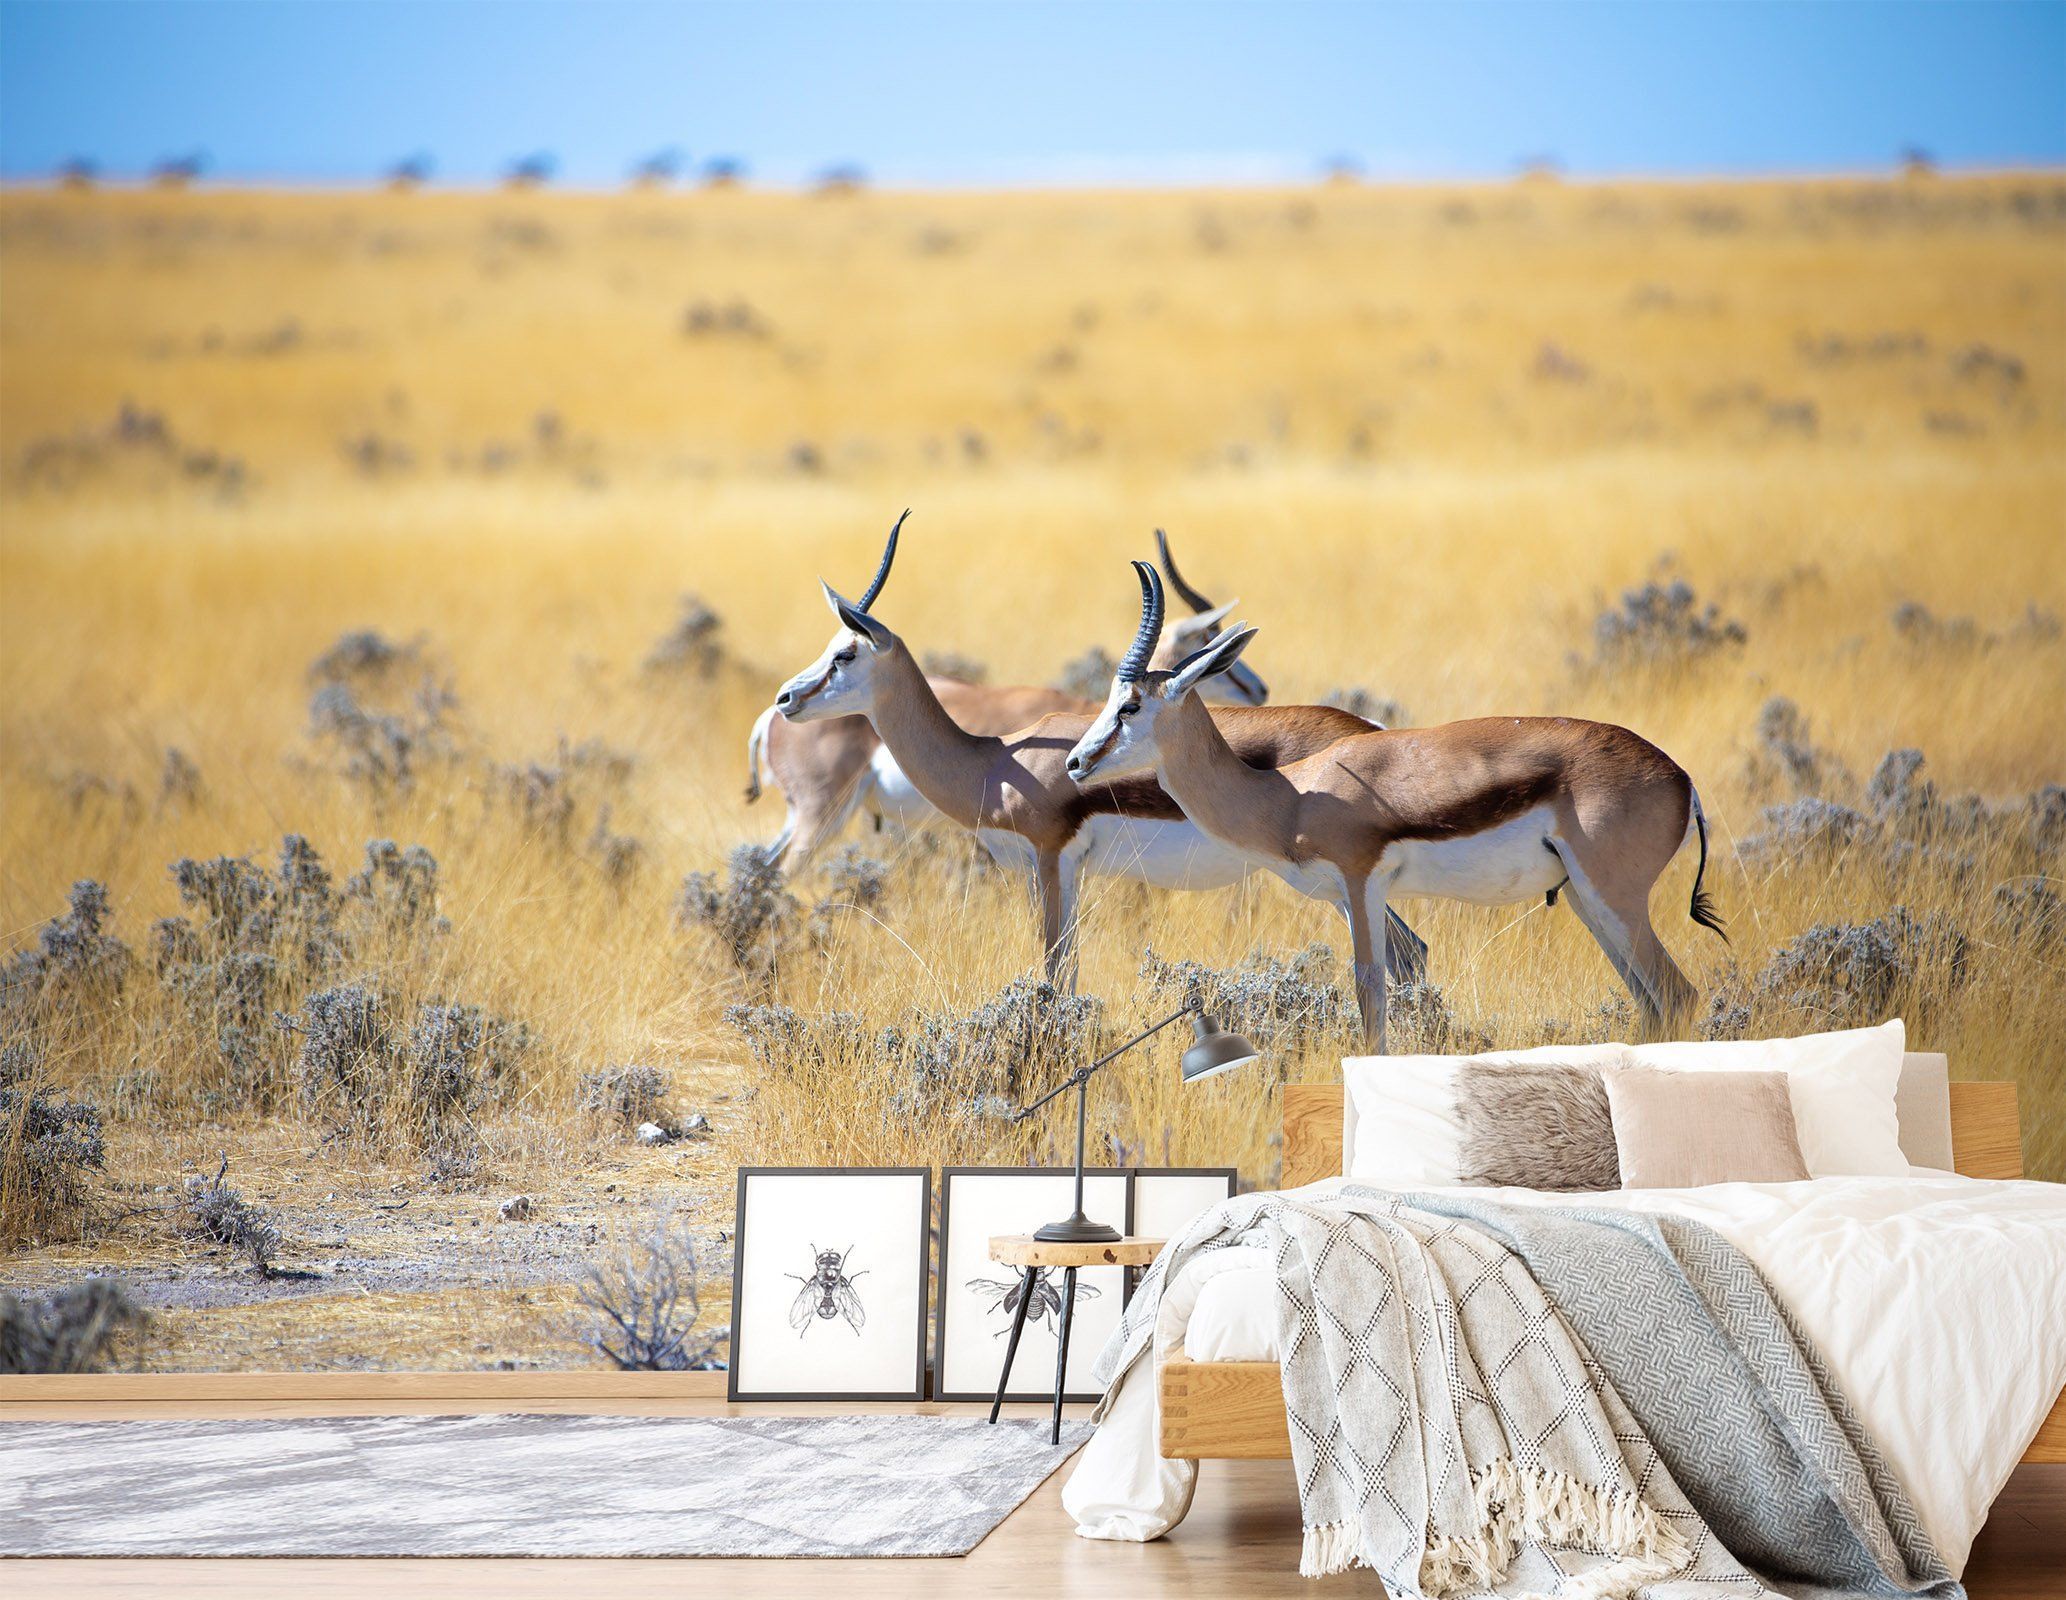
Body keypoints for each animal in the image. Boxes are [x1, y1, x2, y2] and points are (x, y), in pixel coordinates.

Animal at [1064, 563, 1726, 1050]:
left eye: (1129, 706)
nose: (1075, 762)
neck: (1290, 796)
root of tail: (1681, 778)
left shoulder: (1362, 886)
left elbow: (1370, 996)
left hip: (1615, 900)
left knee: (1679, 995)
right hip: (1589, 903)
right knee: (1652, 1003)